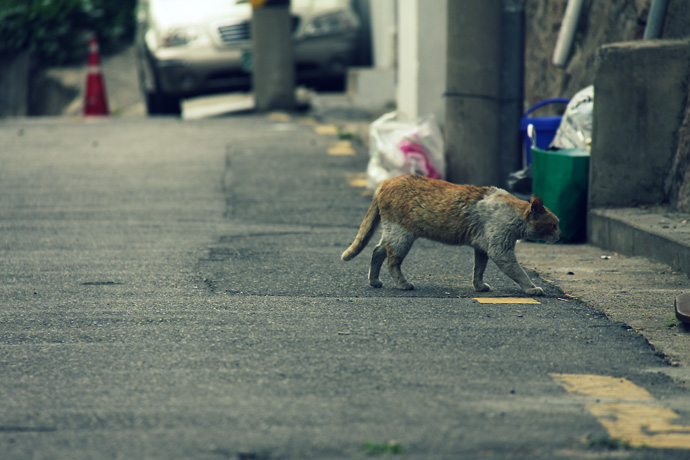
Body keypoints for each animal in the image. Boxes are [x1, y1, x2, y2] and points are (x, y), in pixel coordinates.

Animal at [340, 174, 560, 296]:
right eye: (554, 225)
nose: (560, 234)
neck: (514, 213)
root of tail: (385, 183)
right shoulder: (500, 251)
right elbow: (519, 272)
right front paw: (532, 288)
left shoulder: (482, 248)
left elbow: (478, 269)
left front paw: (479, 286)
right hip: (401, 236)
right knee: (392, 261)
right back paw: (403, 284)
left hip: (393, 234)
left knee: (377, 251)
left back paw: (374, 281)